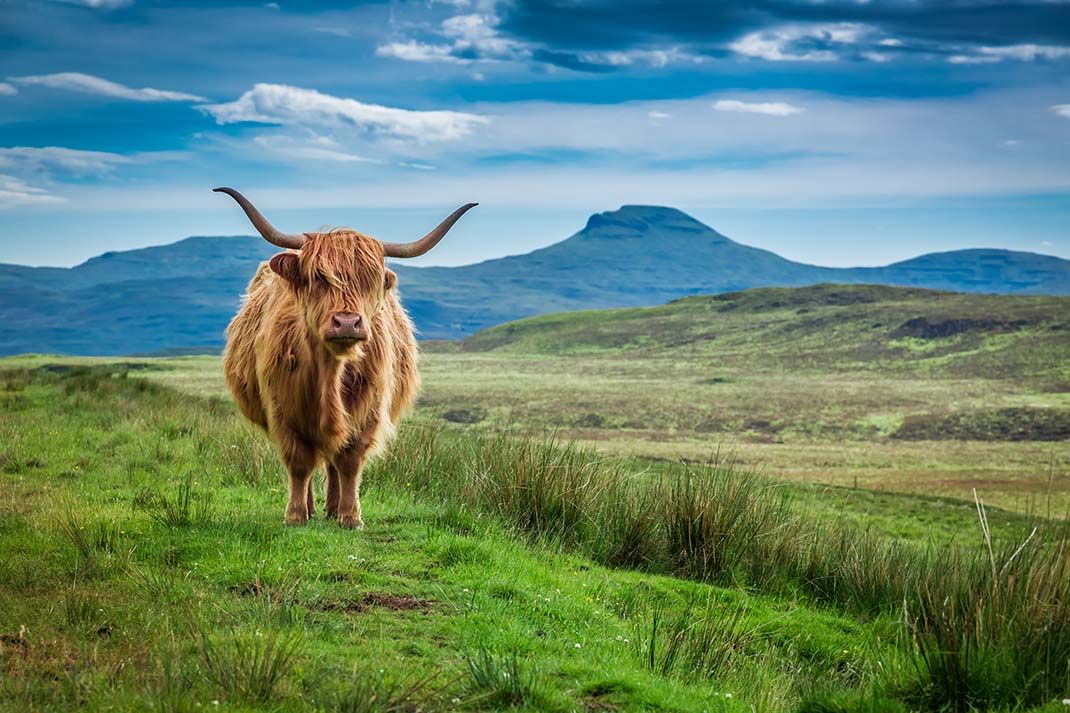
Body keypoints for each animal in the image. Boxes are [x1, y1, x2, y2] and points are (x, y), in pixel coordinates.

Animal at [215, 186, 475, 524]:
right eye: (318, 278)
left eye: (370, 280)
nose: (348, 322)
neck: (331, 372)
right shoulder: (282, 408)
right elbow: (299, 462)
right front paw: (296, 515)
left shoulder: (369, 410)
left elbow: (349, 461)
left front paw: (351, 516)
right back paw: (313, 507)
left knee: (333, 462)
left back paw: (333, 508)